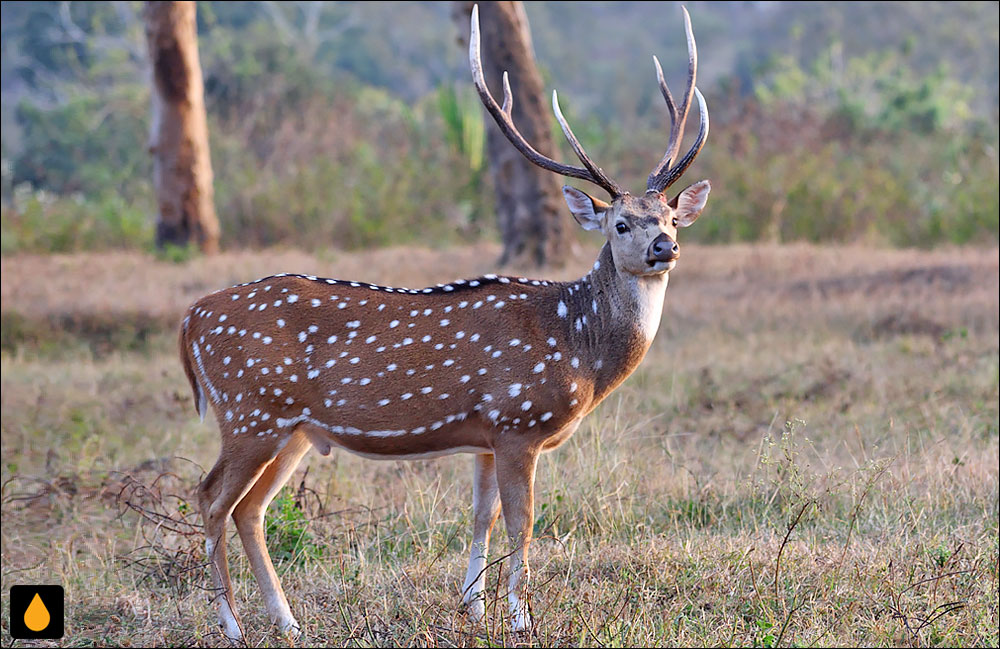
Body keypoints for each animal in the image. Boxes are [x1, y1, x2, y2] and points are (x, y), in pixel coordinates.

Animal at [182, 2, 712, 636]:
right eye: (621, 224)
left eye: (671, 217)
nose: (665, 247)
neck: (578, 348)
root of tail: (191, 319)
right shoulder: (518, 421)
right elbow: (522, 524)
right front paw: (521, 620)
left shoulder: (487, 435)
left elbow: (482, 517)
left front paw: (472, 607)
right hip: (249, 412)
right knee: (210, 497)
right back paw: (232, 626)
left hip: (293, 430)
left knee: (250, 510)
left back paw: (287, 624)